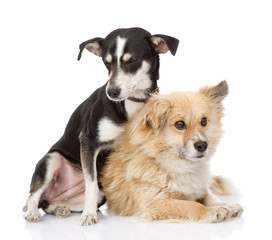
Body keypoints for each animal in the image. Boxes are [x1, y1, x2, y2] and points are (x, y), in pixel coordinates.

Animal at [23, 28, 180, 225]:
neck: (131, 103)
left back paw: (60, 208)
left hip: (95, 193)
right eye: (107, 62)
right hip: (52, 160)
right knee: (33, 195)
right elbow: (91, 186)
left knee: (49, 205)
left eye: (132, 60)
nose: (112, 92)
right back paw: (32, 212)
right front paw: (89, 215)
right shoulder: (89, 142)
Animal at [101, 80, 243, 223]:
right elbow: (191, 205)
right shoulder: (156, 203)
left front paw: (225, 205)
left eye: (204, 121)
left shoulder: (200, 189)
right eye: (180, 124)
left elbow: (210, 196)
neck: (175, 165)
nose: (202, 145)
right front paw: (212, 211)